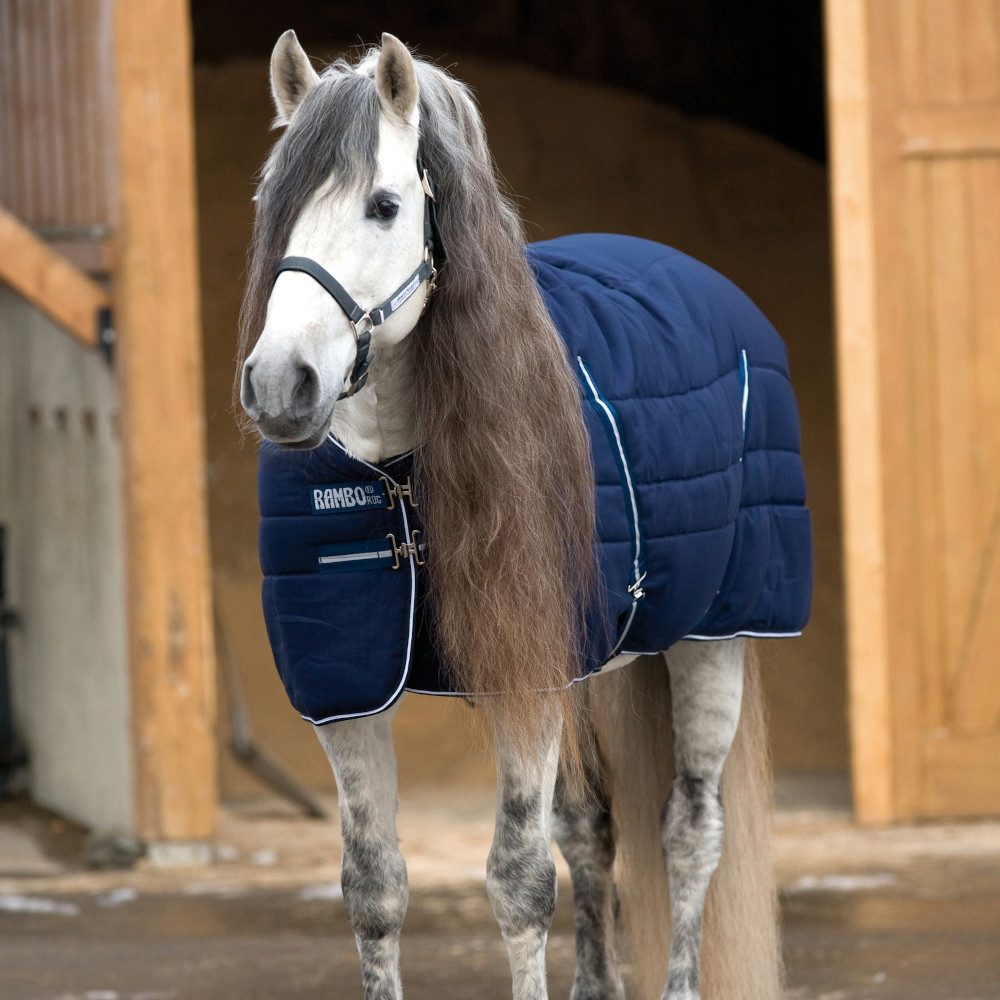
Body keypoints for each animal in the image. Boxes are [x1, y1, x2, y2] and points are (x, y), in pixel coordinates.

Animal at [238, 31, 810, 1000]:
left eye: (385, 206)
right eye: (270, 202)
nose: (282, 385)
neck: (399, 480)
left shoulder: (528, 679)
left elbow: (518, 882)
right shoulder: (348, 691)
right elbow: (374, 889)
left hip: (715, 640)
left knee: (690, 833)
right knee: (592, 829)